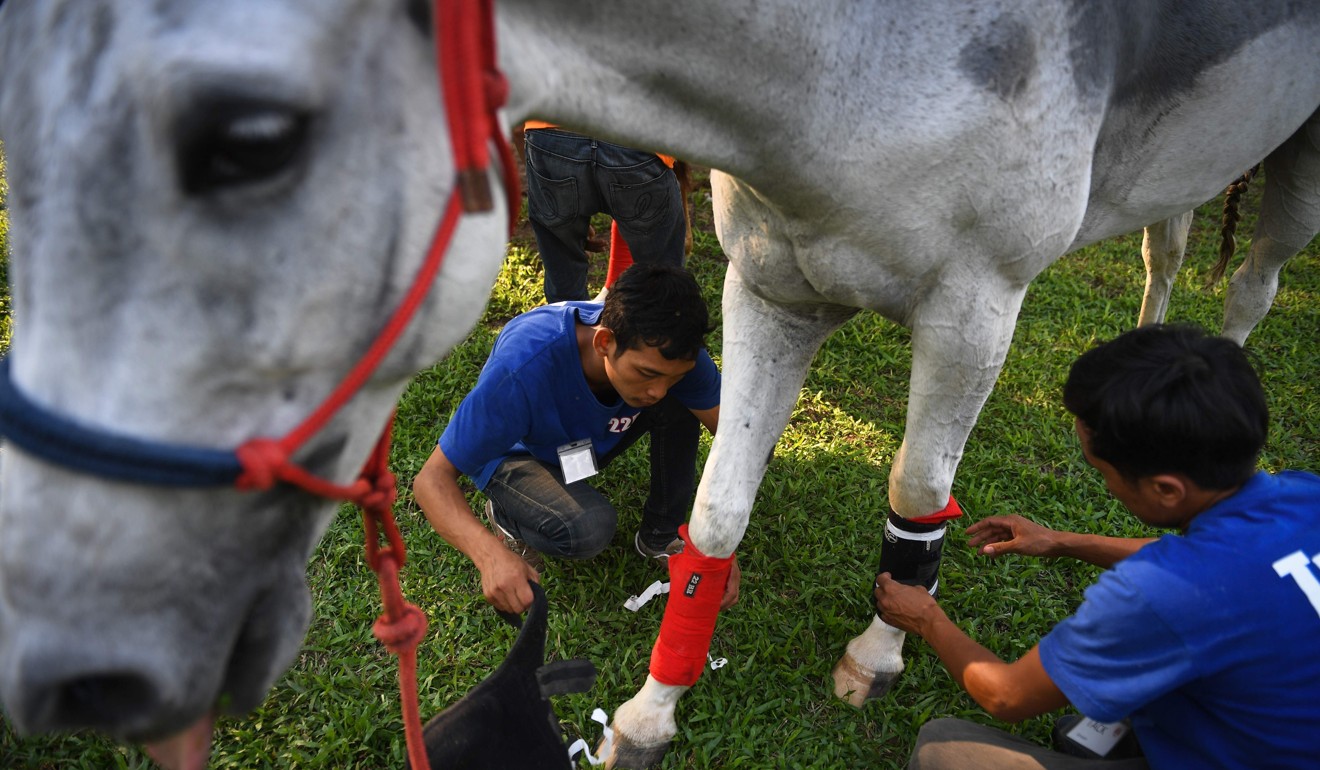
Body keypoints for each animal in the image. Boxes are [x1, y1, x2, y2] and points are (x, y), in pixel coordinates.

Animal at [0, 1, 1314, 770]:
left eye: (252, 142)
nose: (70, 656)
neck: (850, 72)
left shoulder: (977, 305)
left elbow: (917, 496)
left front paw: (881, 651)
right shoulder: (771, 285)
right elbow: (716, 513)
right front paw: (648, 711)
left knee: (1251, 284)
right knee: (1167, 248)